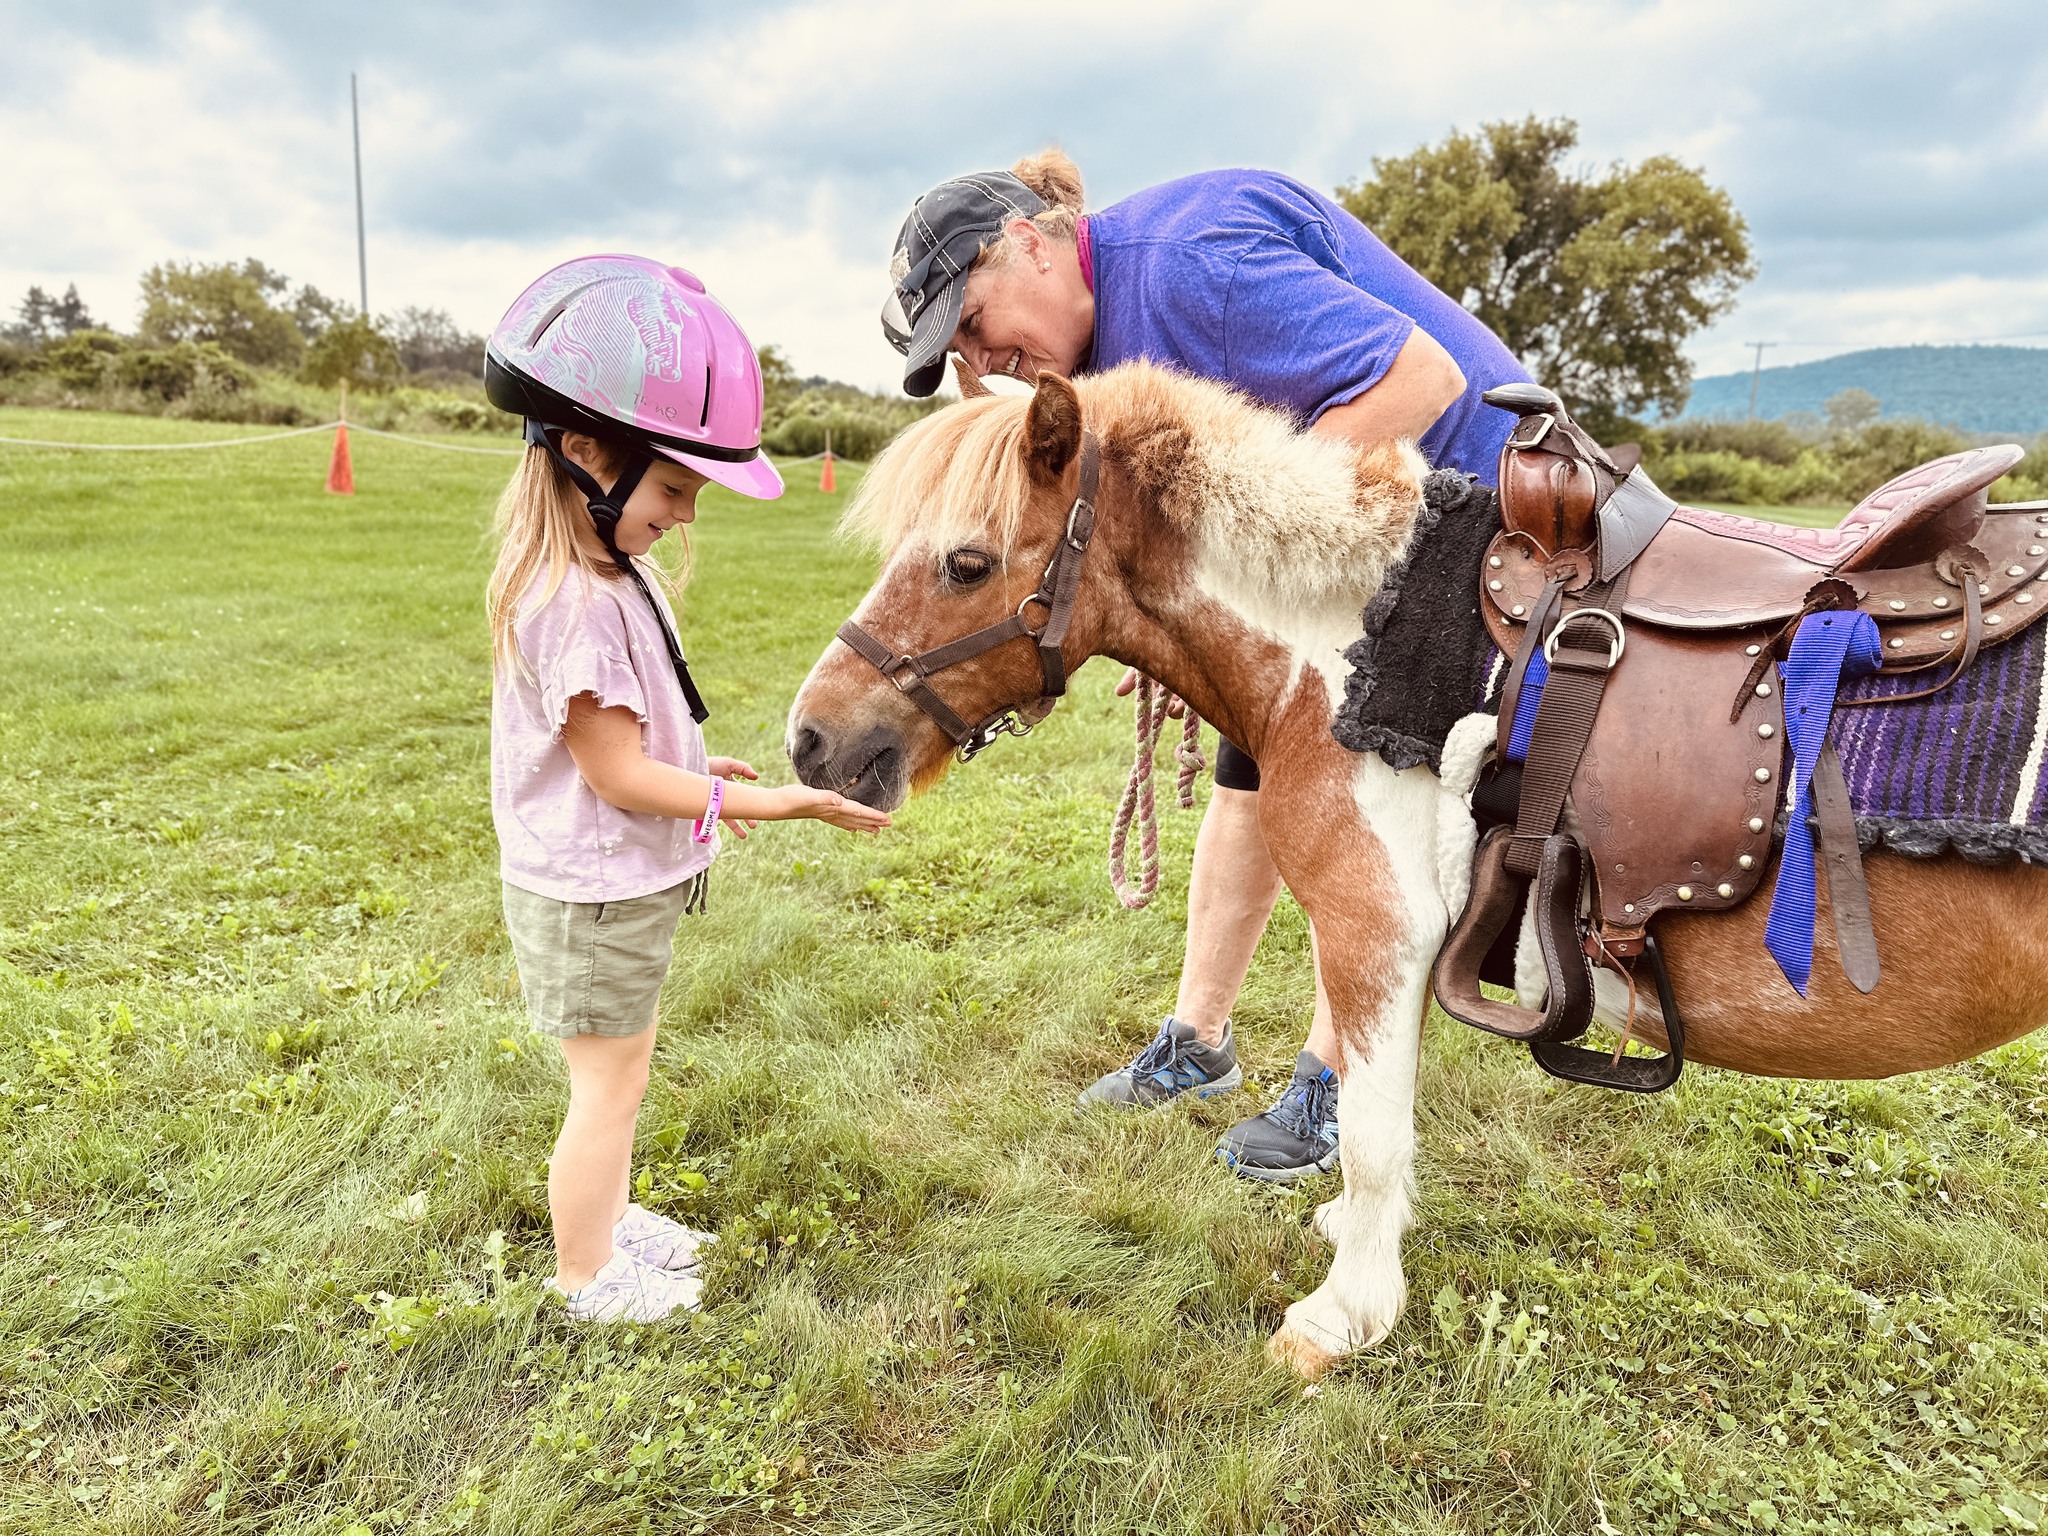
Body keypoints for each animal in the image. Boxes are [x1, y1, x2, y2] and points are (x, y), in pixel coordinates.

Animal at [784, 362, 2048, 1377]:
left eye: (966, 561)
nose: (810, 741)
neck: (1349, 648)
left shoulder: (1373, 928)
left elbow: (1375, 1133)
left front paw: (1340, 1316)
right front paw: (1350, 1242)